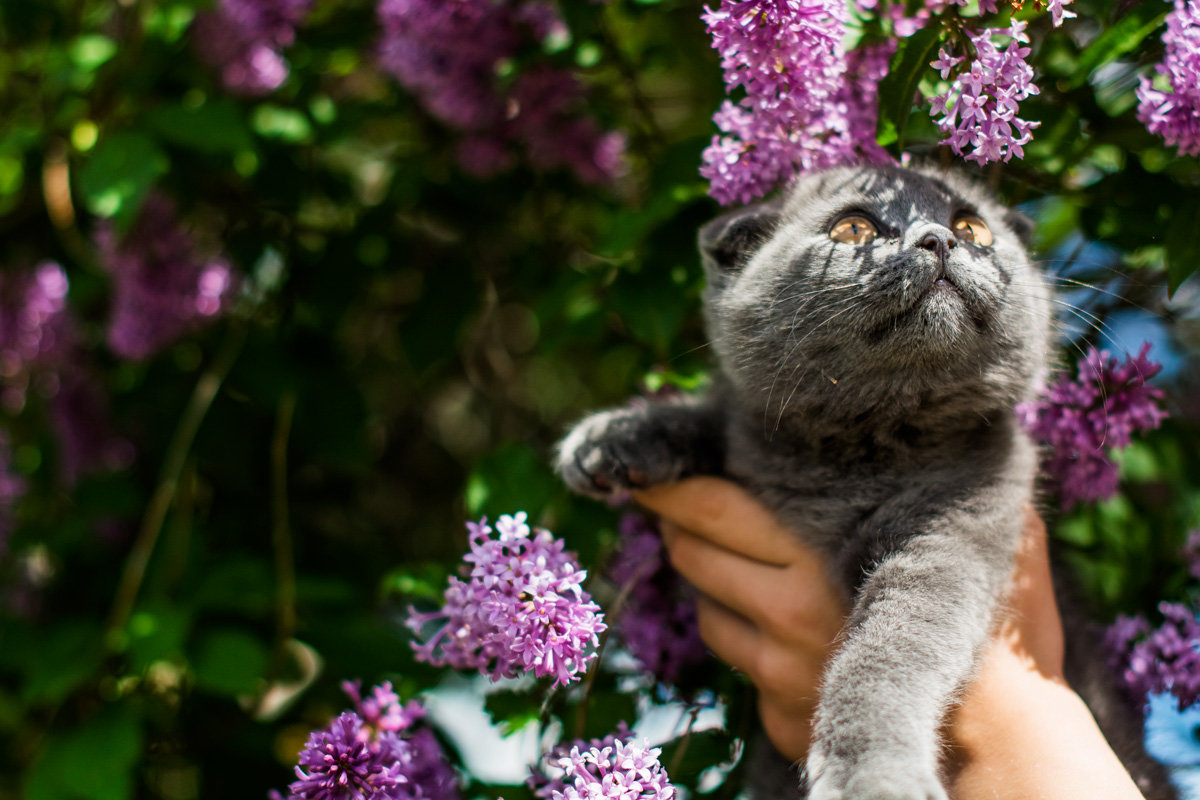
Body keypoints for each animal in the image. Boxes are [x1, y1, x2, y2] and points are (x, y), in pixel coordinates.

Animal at [559, 165, 1171, 800]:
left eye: (971, 228)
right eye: (854, 229)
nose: (939, 239)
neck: (861, 447)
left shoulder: (958, 529)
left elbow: (886, 655)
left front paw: (873, 773)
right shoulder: (756, 431)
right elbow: (722, 418)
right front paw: (615, 436)